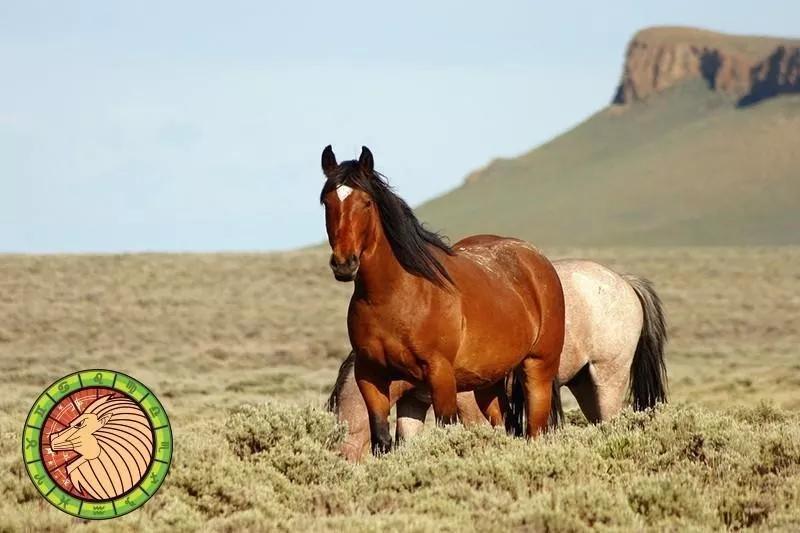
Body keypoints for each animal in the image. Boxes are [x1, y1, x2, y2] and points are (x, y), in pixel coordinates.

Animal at [322, 145, 564, 454]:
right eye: (327, 201)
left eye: (366, 202)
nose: (344, 264)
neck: (396, 296)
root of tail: (537, 259)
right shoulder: (371, 376)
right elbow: (383, 440)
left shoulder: (441, 377)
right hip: (488, 384)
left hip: (537, 370)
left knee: (534, 430)